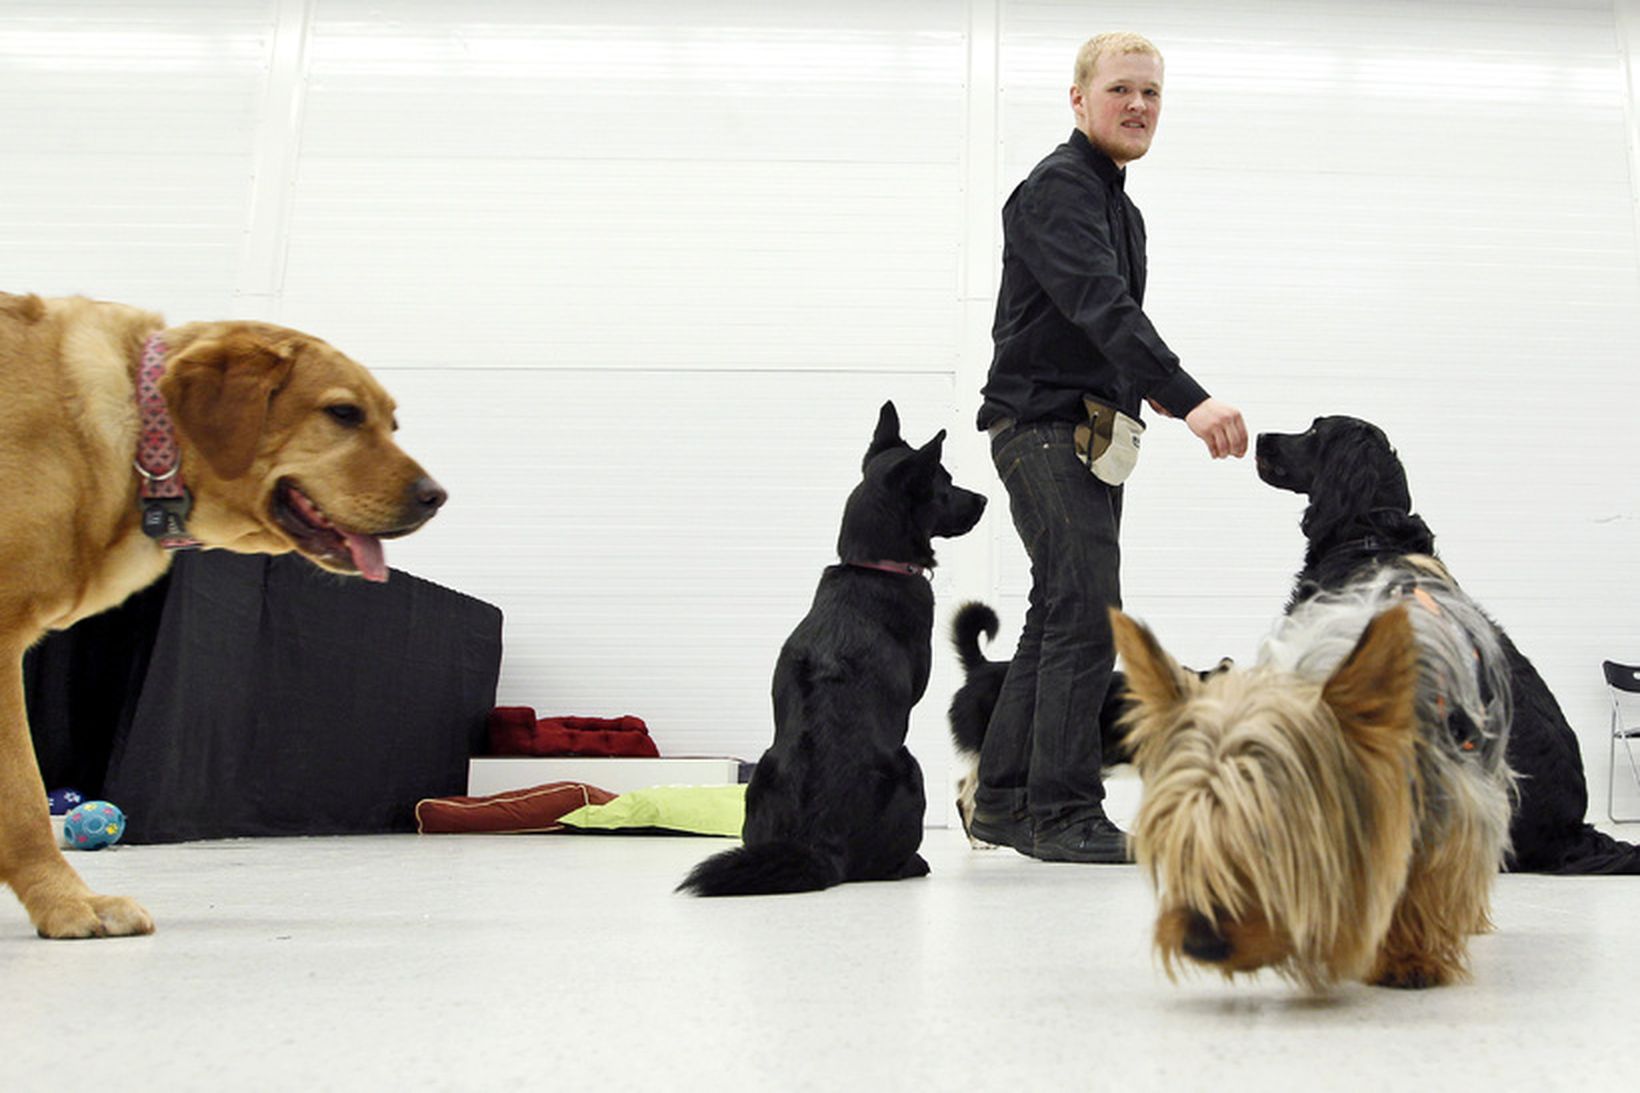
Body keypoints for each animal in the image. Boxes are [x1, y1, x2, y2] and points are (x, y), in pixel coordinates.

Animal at [678, 402, 984, 892]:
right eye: (946, 483)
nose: (984, 500)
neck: (872, 565)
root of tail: (819, 845)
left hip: (760, 777)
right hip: (910, 767)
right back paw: (913, 863)